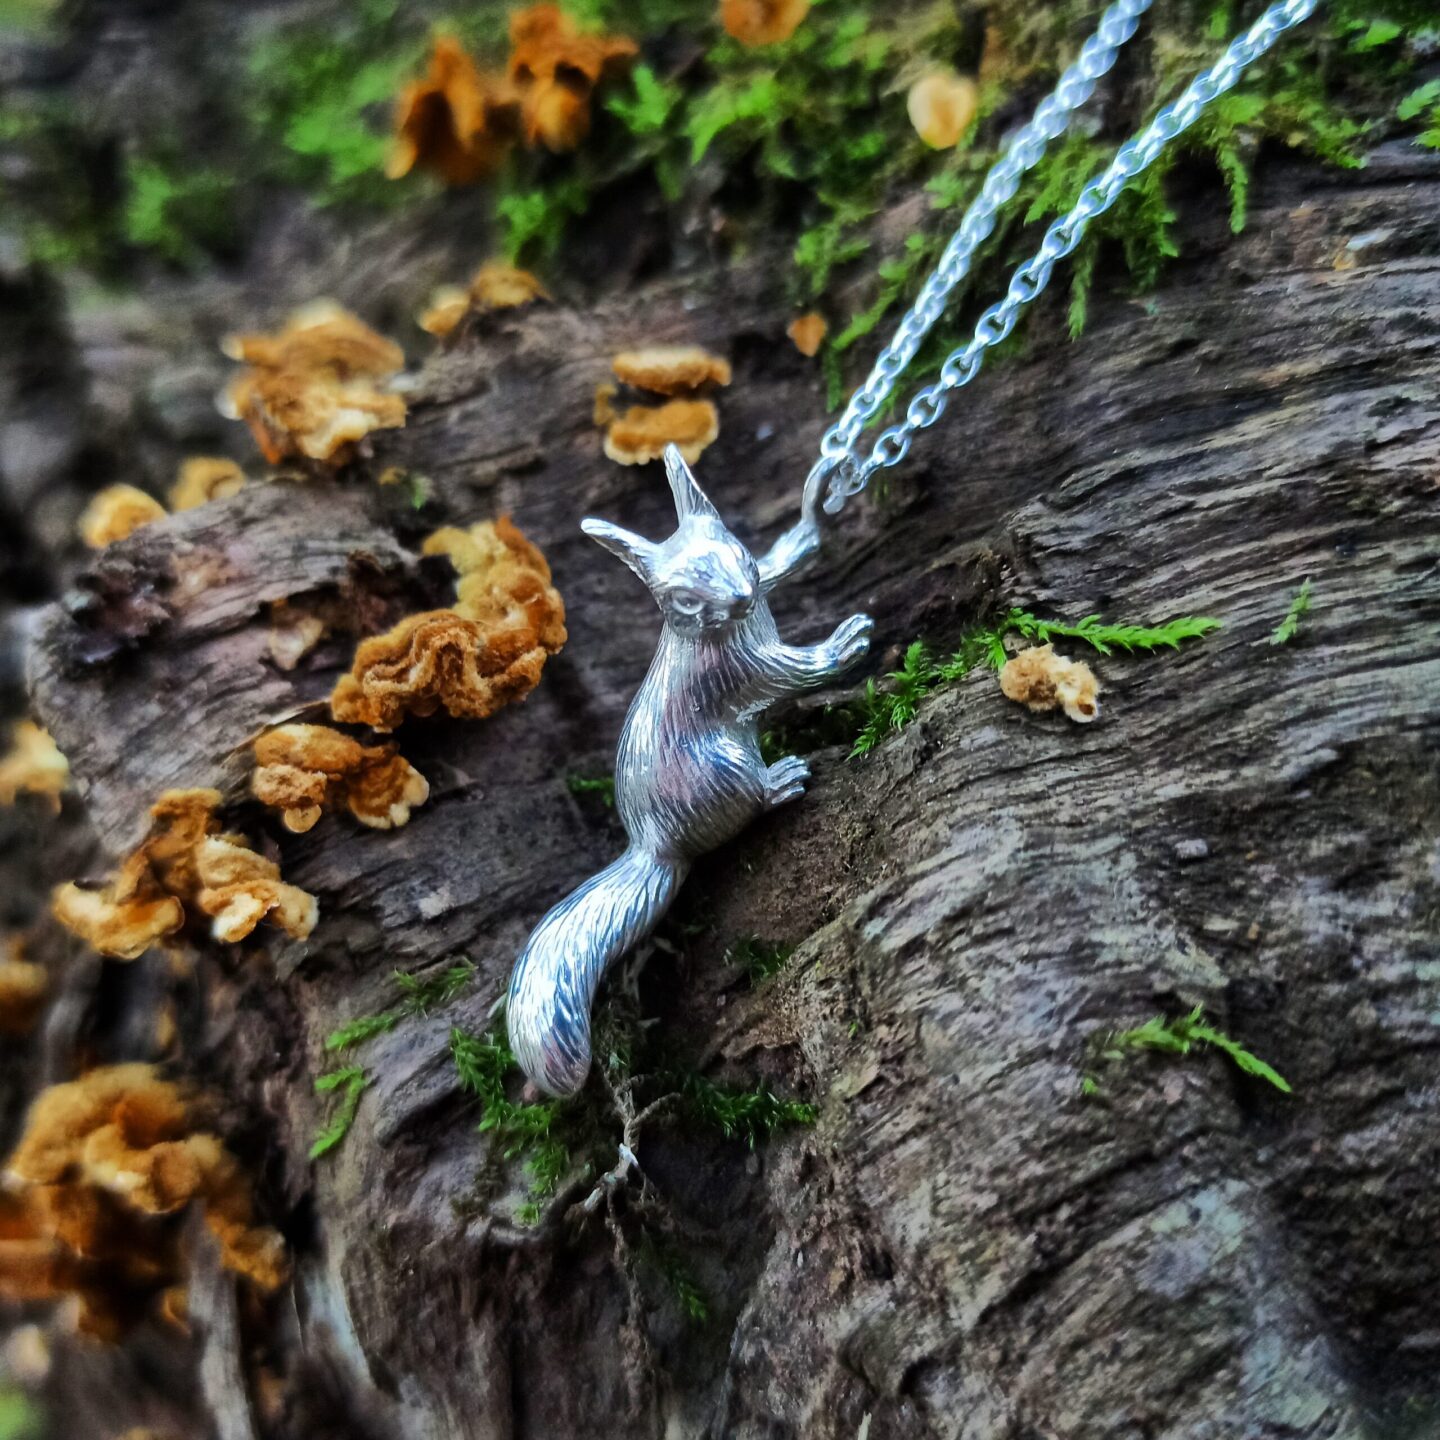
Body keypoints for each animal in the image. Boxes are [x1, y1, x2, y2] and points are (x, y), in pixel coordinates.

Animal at [507, 445, 872, 1096]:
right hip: (723, 771)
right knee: (748, 804)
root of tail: (656, 845)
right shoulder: (744, 668)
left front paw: (818, 497)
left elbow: (788, 557)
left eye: (737, 552)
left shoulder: (762, 582)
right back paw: (779, 782)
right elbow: (793, 672)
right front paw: (843, 646)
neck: (734, 626)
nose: (741, 600)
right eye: (684, 601)